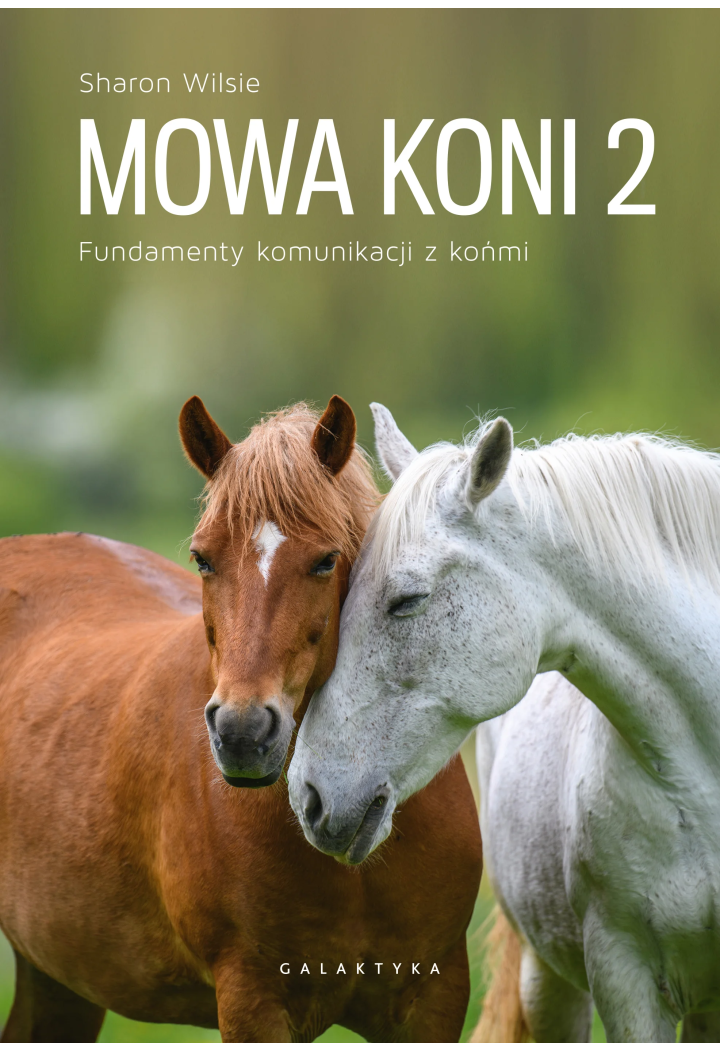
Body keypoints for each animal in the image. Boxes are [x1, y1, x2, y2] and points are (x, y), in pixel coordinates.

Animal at [0, 396, 482, 1042]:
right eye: (202, 558)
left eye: (326, 560)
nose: (243, 733)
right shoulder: (253, 1000)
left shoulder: (433, 997)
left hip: (57, 978)